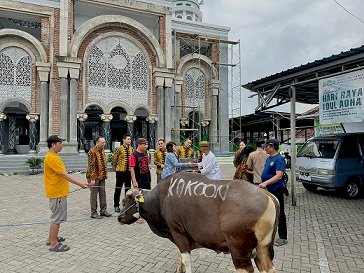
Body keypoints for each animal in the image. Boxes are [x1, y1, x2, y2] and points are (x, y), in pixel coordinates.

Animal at [116, 172, 278, 272]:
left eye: (125, 201)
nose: (119, 217)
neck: (162, 198)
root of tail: (267, 195)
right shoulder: (179, 237)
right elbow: (180, 257)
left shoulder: (178, 233)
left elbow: (185, 259)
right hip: (262, 249)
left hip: (240, 252)